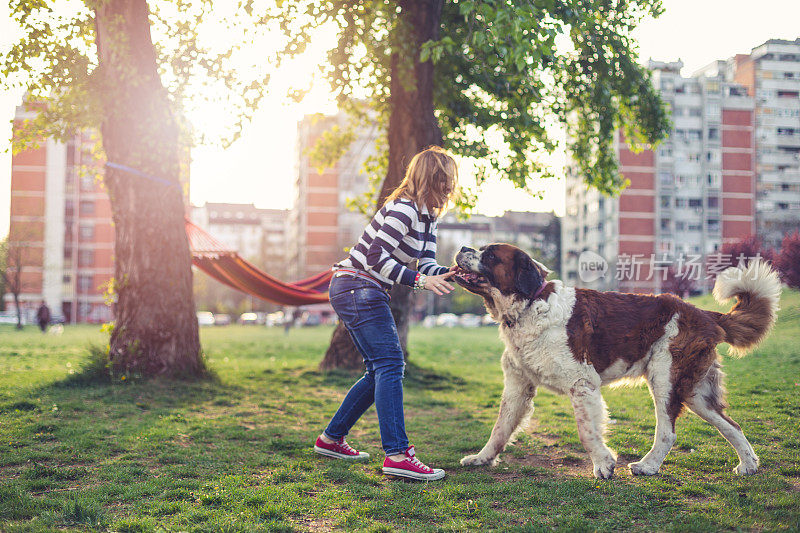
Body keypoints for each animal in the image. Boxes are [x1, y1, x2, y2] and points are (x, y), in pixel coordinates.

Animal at [456, 243, 780, 476]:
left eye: (491, 254)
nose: (462, 247)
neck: (529, 305)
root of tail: (702, 312)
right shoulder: (518, 387)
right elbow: (500, 428)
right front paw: (482, 458)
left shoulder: (582, 384)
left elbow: (587, 431)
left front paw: (603, 464)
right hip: (695, 392)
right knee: (731, 424)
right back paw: (749, 465)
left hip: (666, 379)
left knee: (668, 432)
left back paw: (648, 466)